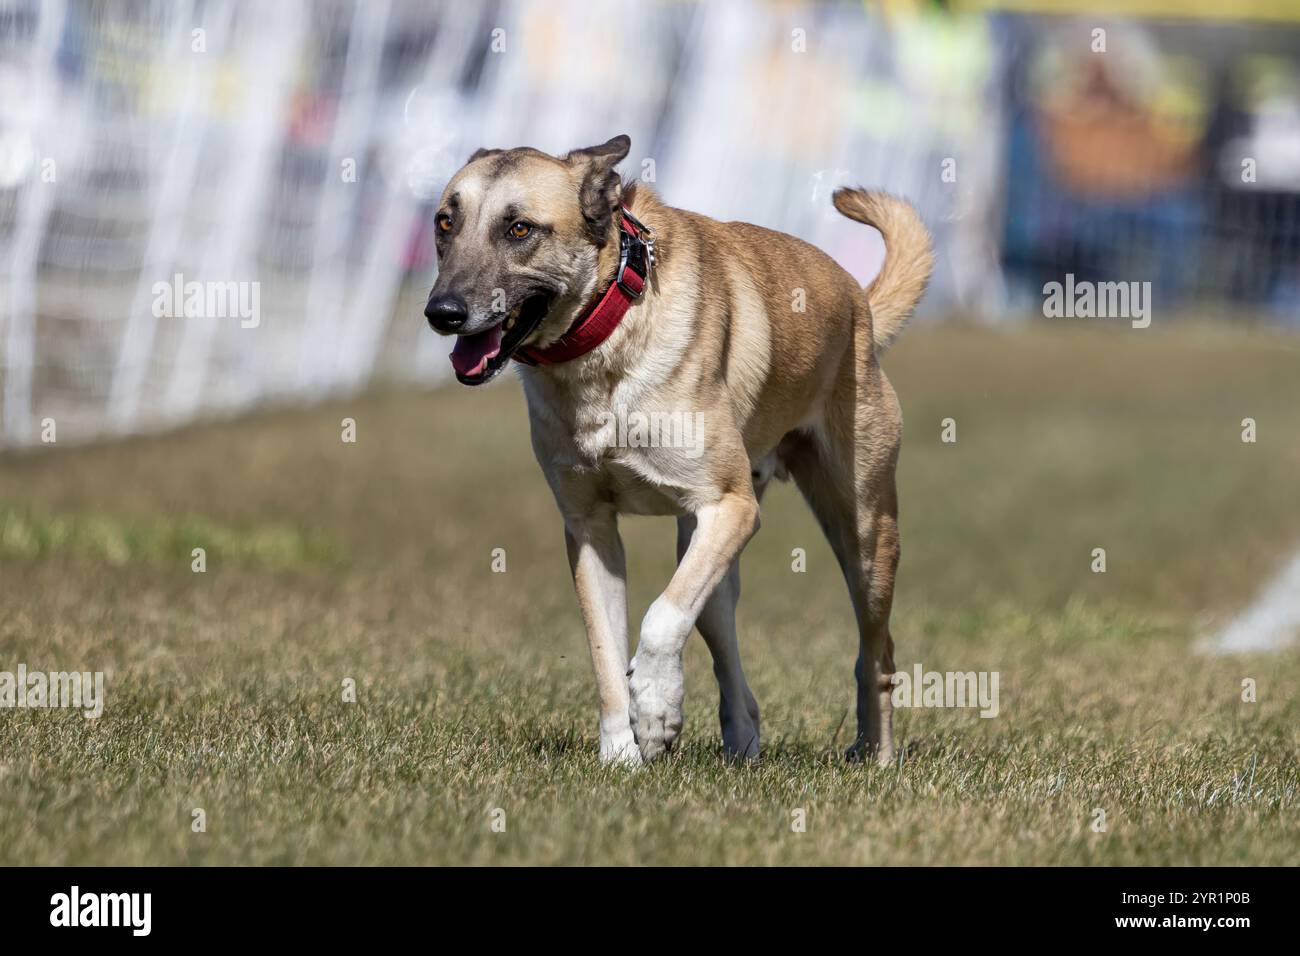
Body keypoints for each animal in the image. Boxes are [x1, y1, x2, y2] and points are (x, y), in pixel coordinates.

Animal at [428, 134, 935, 764]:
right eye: (444, 223)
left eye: (519, 228)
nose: (441, 312)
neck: (607, 329)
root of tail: (858, 301)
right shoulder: (590, 528)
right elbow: (606, 650)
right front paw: (622, 755)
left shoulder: (731, 505)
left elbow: (661, 616)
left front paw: (653, 710)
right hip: (708, 555)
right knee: (726, 652)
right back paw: (741, 747)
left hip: (863, 530)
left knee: (875, 650)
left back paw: (874, 754)